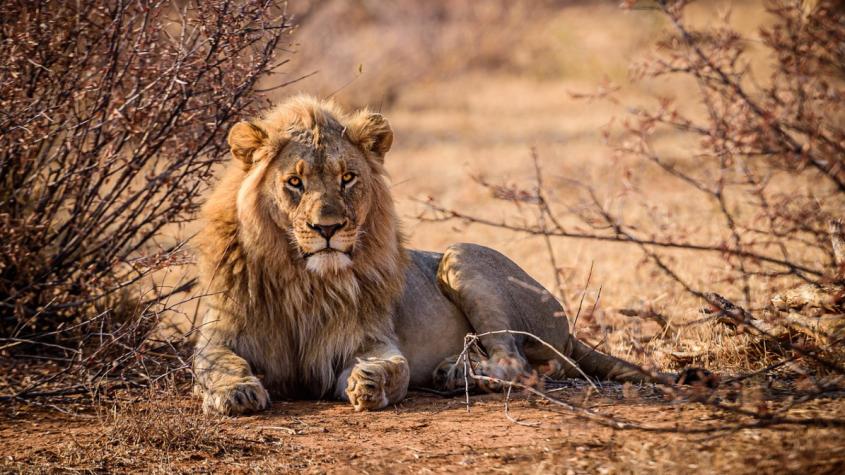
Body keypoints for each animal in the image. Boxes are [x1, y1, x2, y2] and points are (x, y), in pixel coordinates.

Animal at [193, 95, 679, 415]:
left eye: (347, 178)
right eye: (294, 182)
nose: (327, 229)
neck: (302, 279)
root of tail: (568, 327)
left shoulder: (368, 338)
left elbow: (394, 366)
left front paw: (369, 381)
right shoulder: (219, 333)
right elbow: (216, 362)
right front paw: (236, 392)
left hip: (461, 256)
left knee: (518, 363)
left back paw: (457, 374)